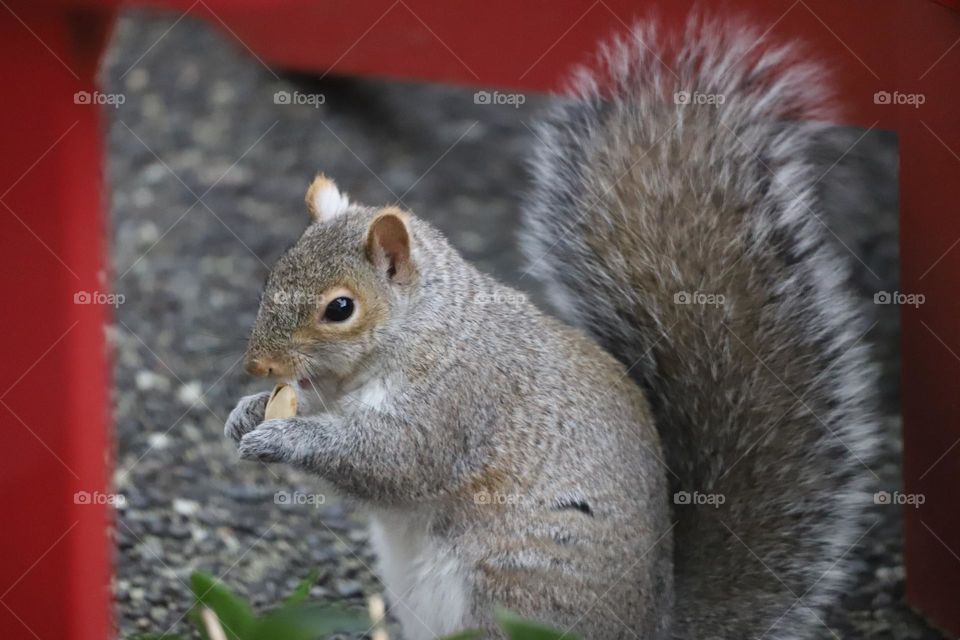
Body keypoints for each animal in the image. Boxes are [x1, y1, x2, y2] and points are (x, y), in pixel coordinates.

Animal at [223, 17, 876, 640]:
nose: (257, 365)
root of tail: (654, 626)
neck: (418, 330)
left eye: (340, 309)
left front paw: (284, 438)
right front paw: (248, 411)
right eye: (273, 274)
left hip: (520, 586)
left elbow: (394, 459)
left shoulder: (458, 401)